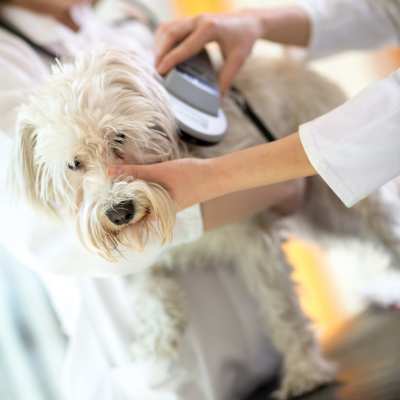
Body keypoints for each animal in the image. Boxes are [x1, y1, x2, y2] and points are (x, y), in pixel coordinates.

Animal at [8, 47, 400, 400]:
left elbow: (280, 309)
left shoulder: (253, 241)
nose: (119, 211)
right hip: (322, 217)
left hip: (342, 202)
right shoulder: (137, 258)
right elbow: (151, 295)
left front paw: (304, 369)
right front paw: (156, 351)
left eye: (118, 137)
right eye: (74, 164)